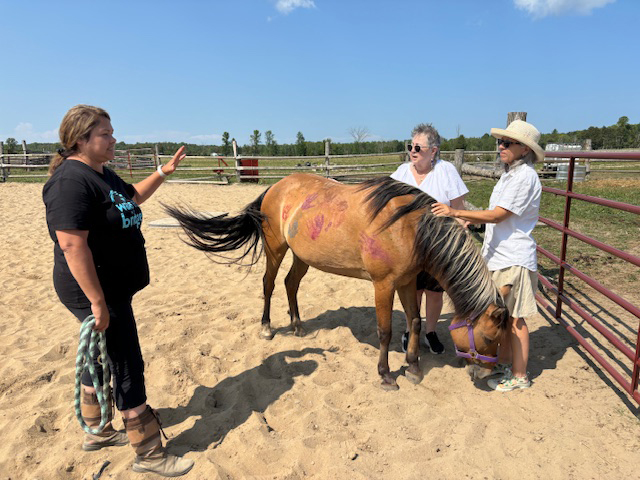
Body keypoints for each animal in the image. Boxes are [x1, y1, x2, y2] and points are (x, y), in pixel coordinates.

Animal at [165, 173, 509, 390]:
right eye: (489, 337)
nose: (485, 373)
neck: (411, 227)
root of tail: (275, 188)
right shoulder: (384, 285)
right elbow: (385, 331)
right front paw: (386, 375)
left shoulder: (407, 282)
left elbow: (415, 322)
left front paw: (413, 367)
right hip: (275, 248)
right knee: (269, 284)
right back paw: (266, 327)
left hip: (302, 256)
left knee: (291, 284)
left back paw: (297, 325)